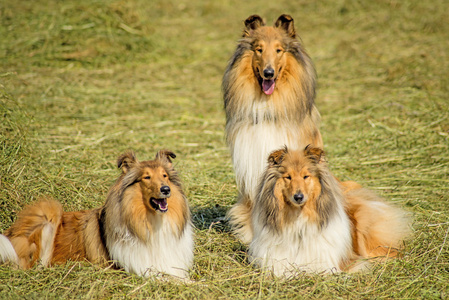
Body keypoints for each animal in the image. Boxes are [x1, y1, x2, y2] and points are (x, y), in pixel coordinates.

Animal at [0, 150, 192, 278]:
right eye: (146, 177)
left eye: (165, 176)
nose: (166, 190)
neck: (152, 222)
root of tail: (9, 233)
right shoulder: (141, 268)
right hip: (47, 212)